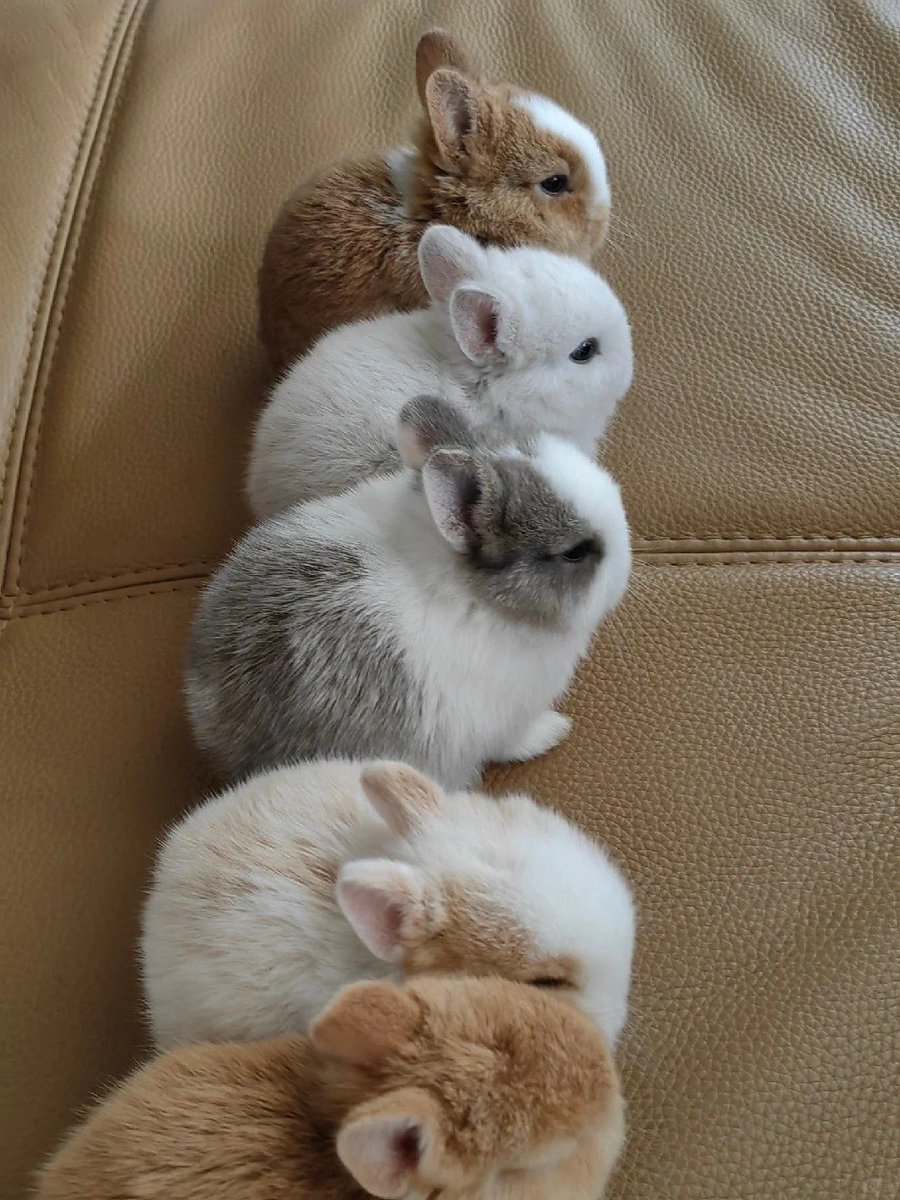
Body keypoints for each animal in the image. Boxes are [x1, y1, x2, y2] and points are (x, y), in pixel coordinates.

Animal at [187, 395, 632, 790]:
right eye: (575, 552)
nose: (627, 566)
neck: (482, 602)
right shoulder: (504, 720)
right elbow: (514, 741)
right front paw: (554, 731)